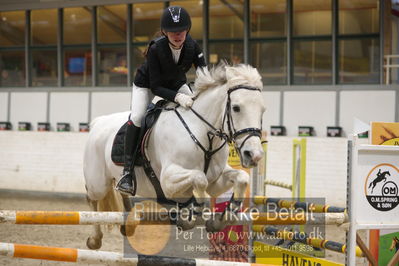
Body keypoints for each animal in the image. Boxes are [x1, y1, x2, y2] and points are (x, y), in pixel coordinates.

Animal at [83, 63, 266, 250]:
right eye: (236, 108)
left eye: (262, 110)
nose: (254, 155)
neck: (202, 133)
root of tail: (98, 122)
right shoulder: (168, 180)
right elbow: (199, 179)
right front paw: (191, 216)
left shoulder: (215, 181)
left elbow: (241, 178)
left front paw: (221, 220)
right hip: (98, 183)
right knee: (92, 198)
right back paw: (94, 240)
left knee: (122, 194)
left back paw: (127, 224)